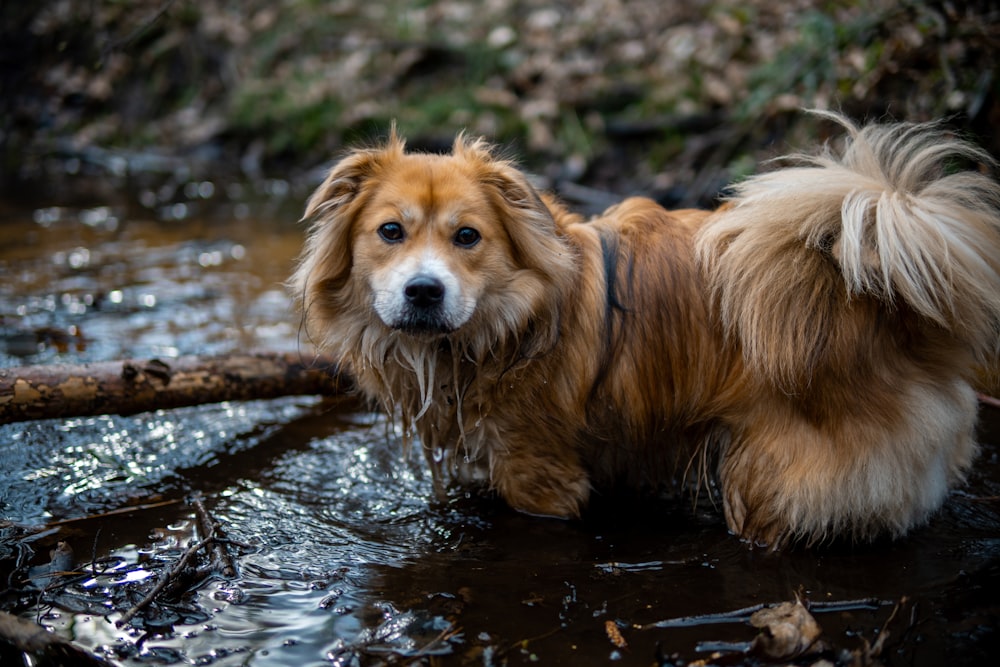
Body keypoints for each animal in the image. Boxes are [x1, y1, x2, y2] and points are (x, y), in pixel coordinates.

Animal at [292, 111, 1000, 548]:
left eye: (468, 237)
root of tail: (892, 307)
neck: (506, 324)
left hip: (776, 472)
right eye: (390, 231)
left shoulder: (537, 471)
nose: (424, 290)